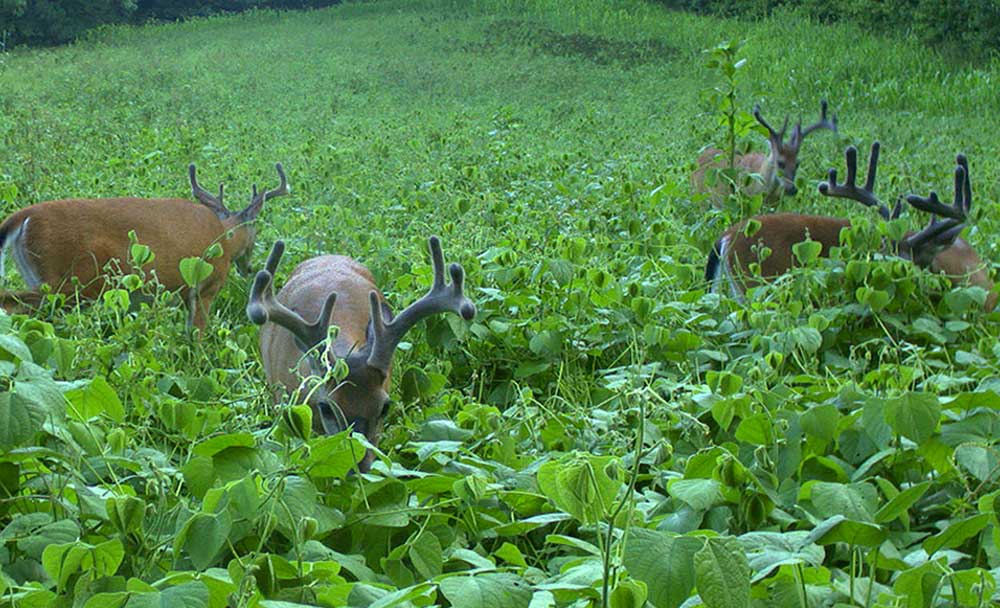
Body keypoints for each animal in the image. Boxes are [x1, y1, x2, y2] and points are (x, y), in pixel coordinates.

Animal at [0, 163, 290, 328]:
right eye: (256, 231)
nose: (248, 267)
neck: (224, 237)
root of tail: (23, 217)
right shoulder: (205, 288)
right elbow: (197, 336)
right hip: (65, 282)